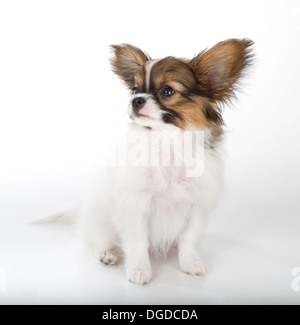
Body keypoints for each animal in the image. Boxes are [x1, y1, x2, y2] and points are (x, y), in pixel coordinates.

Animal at [78, 39, 254, 284]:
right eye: (135, 90)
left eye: (167, 91)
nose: (135, 100)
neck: (168, 140)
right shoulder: (135, 204)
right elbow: (137, 242)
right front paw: (140, 270)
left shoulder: (197, 206)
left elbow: (189, 239)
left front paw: (190, 263)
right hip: (101, 221)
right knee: (98, 241)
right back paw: (108, 253)